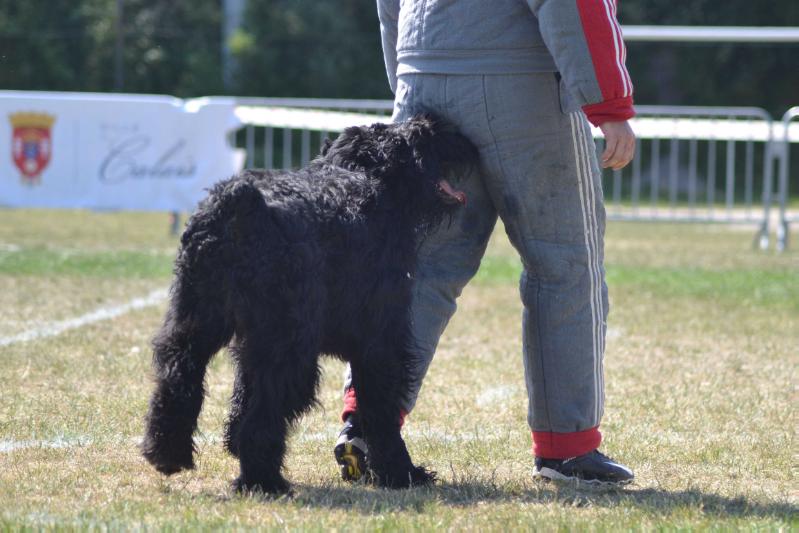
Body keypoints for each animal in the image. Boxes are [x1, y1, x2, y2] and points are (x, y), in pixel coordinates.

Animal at [141, 114, 478, 492]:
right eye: (425, 136)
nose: (461, 136)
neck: (364, 177)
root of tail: (237, 206)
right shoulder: (381, 338)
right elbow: (380, 407)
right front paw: (401, 471)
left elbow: (242, 389)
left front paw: (230, 442)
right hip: (289, 345)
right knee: (265, 412)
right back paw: (264, 480)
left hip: (197, 320)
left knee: (178, 371)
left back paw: (167, 451)